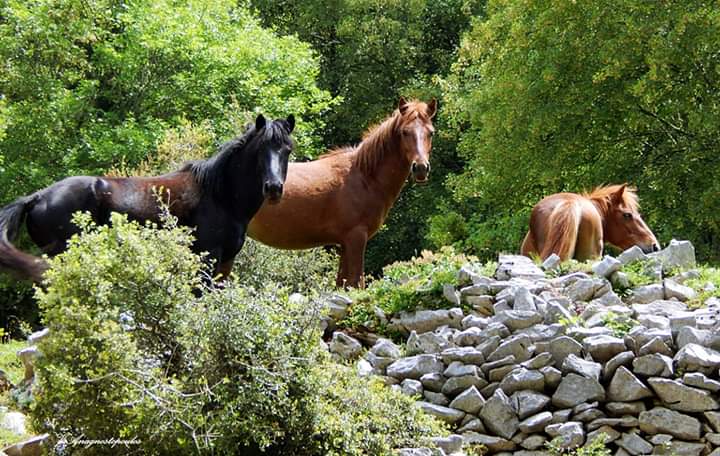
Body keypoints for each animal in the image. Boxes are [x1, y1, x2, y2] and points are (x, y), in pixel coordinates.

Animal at [0, 113, 296, 282]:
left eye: (287, 150)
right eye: (259, 150)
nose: (273, 188)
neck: (220, 196)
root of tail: (38, 196)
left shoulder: (225, 263)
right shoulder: (206, 259)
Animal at [248, 97, 438, 286]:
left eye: (431, 132)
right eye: (405, 132)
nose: (421, 168)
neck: (364, 176)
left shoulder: (345, 244)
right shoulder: (356, 238)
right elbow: (357, 283)